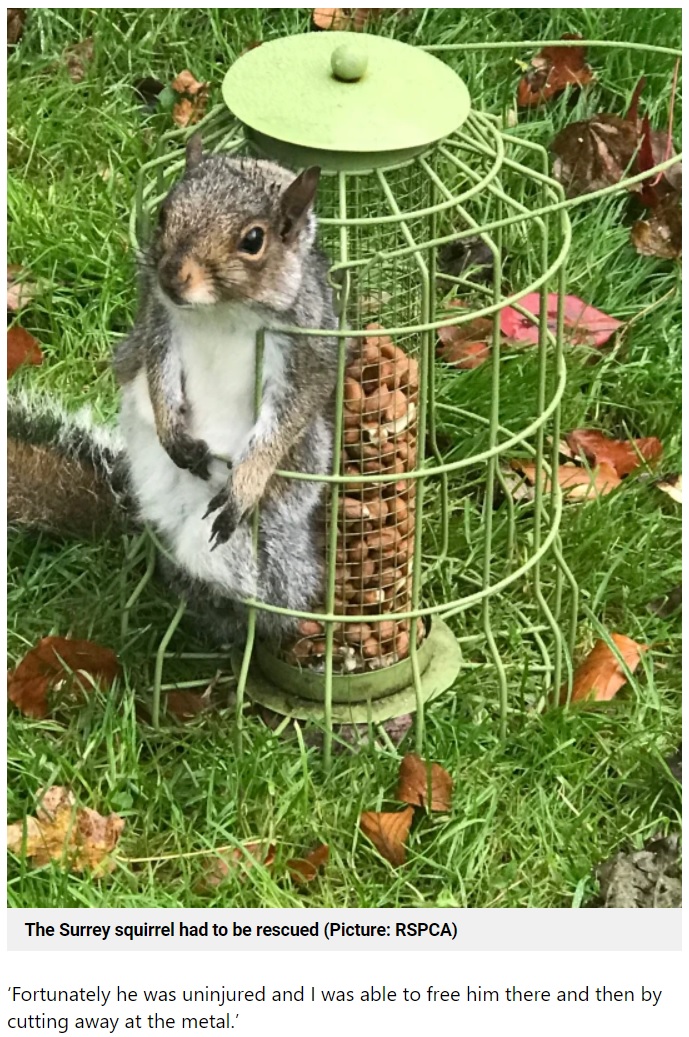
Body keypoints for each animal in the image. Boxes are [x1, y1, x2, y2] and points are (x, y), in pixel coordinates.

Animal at [8, 141, 338, 647]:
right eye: (164, 213)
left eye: (254, 240)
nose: (171, 276)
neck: (221, 312)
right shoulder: (159, 323)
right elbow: (156, 375)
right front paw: (172, 433)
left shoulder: (305, 345)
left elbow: (290, 415)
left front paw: (248, 480)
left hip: (255, 541)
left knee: (266, 588)